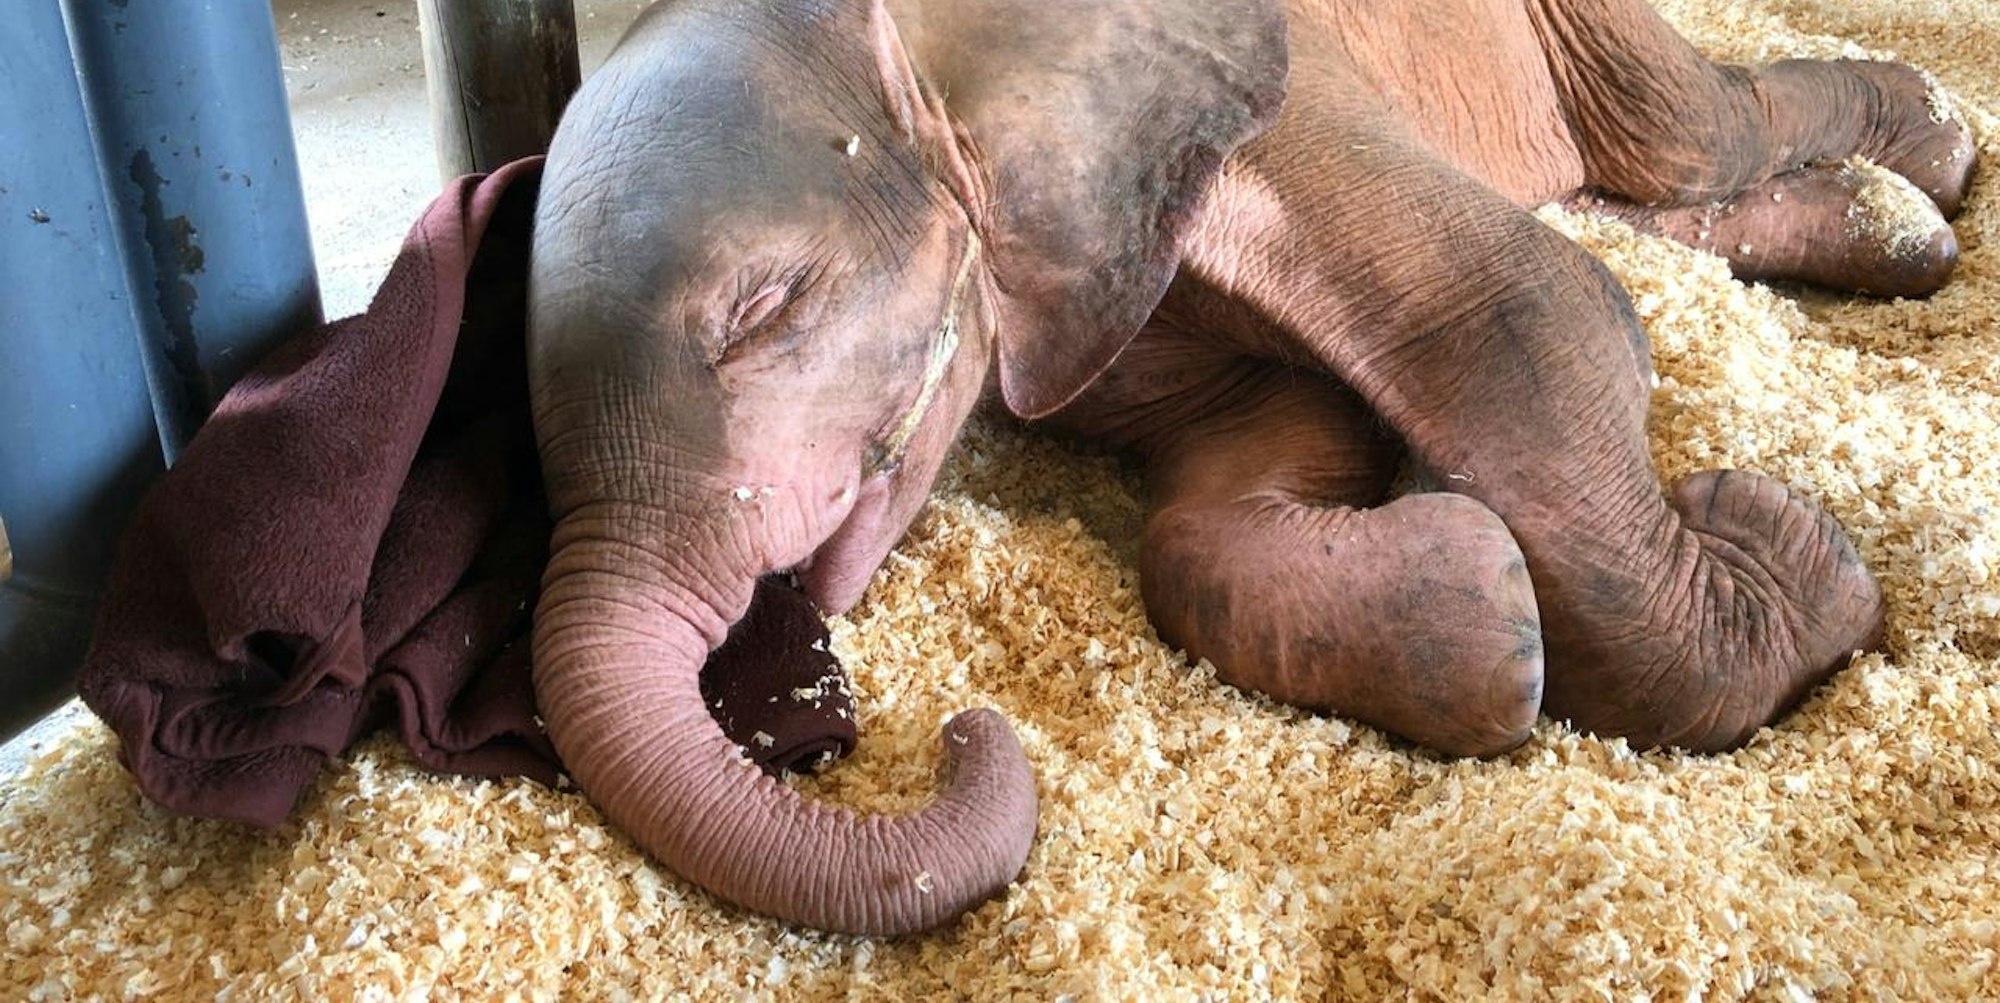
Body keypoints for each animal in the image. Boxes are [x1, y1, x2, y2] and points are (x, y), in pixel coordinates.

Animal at [524, 0, 1976, 935]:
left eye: (765, 310)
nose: (957, 730)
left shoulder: (1266, 95)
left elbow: (1515, 307)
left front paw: (1795, 568)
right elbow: (1261, 449)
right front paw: (1479, 600)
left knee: (1691, 133)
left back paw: (1930, 153)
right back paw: (1891, 231)